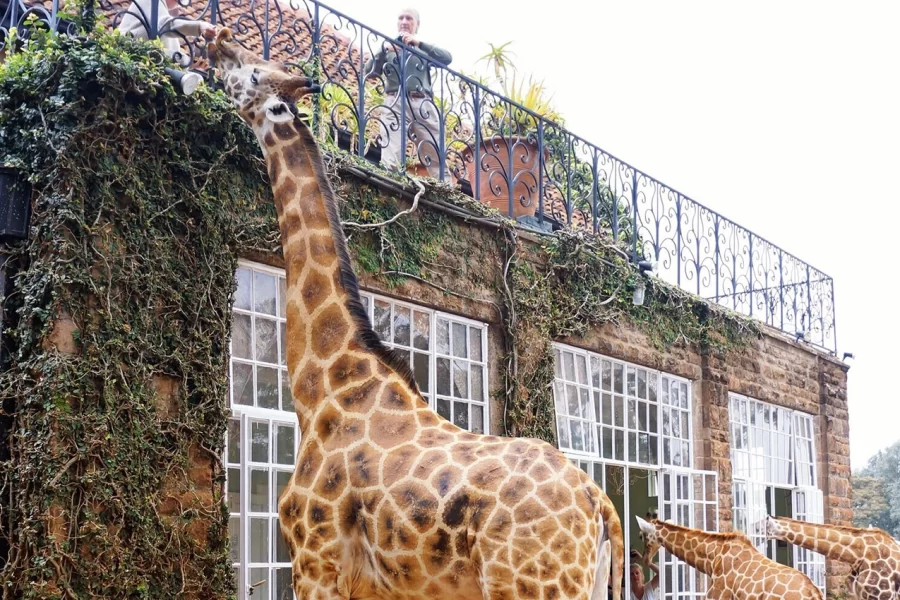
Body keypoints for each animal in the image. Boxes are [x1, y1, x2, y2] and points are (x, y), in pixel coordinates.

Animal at [207, 28, 625, 600]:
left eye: (251, 72)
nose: (216, 41)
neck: (323, 391)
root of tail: (599, 505)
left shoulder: (315, 563)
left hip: (532, 586)